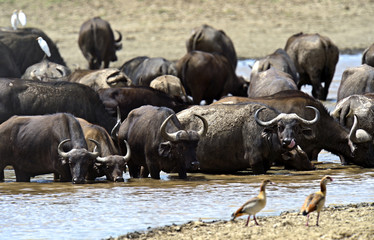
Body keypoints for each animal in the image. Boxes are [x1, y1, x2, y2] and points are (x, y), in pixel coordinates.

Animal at [177, 102, 320, 173]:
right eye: (280, 127)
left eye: (296, 127)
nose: (287, 141)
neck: (266, 137)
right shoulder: (255, 161)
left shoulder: (266, 162)